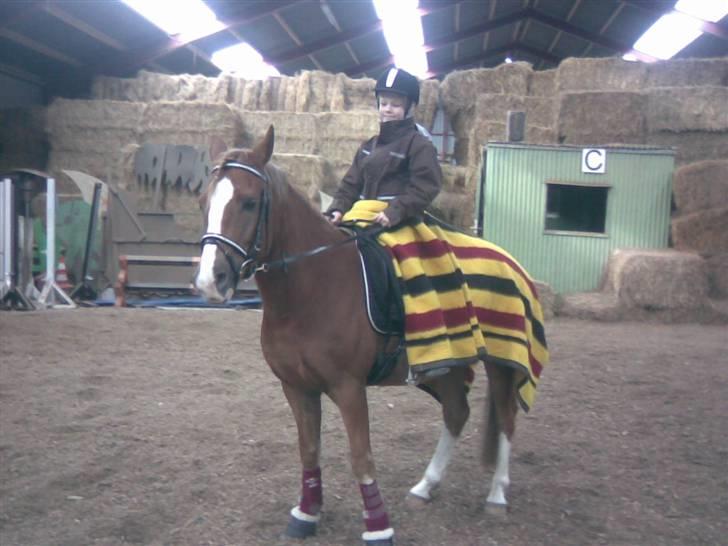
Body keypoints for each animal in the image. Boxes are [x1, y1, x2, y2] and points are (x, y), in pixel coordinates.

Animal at [193, 125, 532, 540]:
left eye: (249, 202)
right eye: (203, 202)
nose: (210, 280)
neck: (312, 287)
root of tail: (508, 260)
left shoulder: (348, 387)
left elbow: (361, 456)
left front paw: (377, 528)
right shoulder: (296, 387)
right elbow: (309, 450)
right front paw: (307, 513)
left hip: (503, 363)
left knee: (507, 419)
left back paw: (497, 496)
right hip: (449, 364)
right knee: (456, 412)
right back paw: (425, 486)